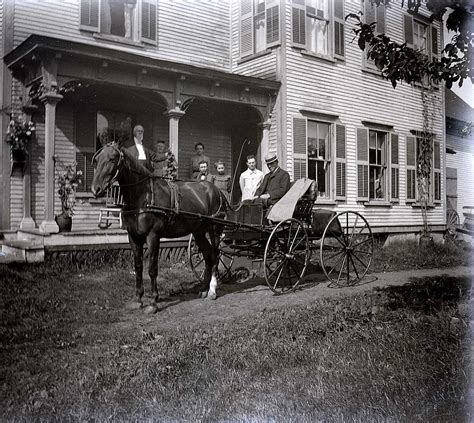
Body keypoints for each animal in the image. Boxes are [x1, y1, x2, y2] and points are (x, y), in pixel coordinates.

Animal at [93, 143, 228, 314]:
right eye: (97, 159)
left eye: (112, 159)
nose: (95, 189)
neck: (142, 196)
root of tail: (217, 191)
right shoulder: (133, 237)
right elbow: (138, 267)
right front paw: (138, 299)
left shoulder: (153, 236)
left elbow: (152, 268)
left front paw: (153, 302)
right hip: (198, 231)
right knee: (208, 255)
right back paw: (204, 289)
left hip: (214, 229)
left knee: (215, 255)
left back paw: (212, 290)